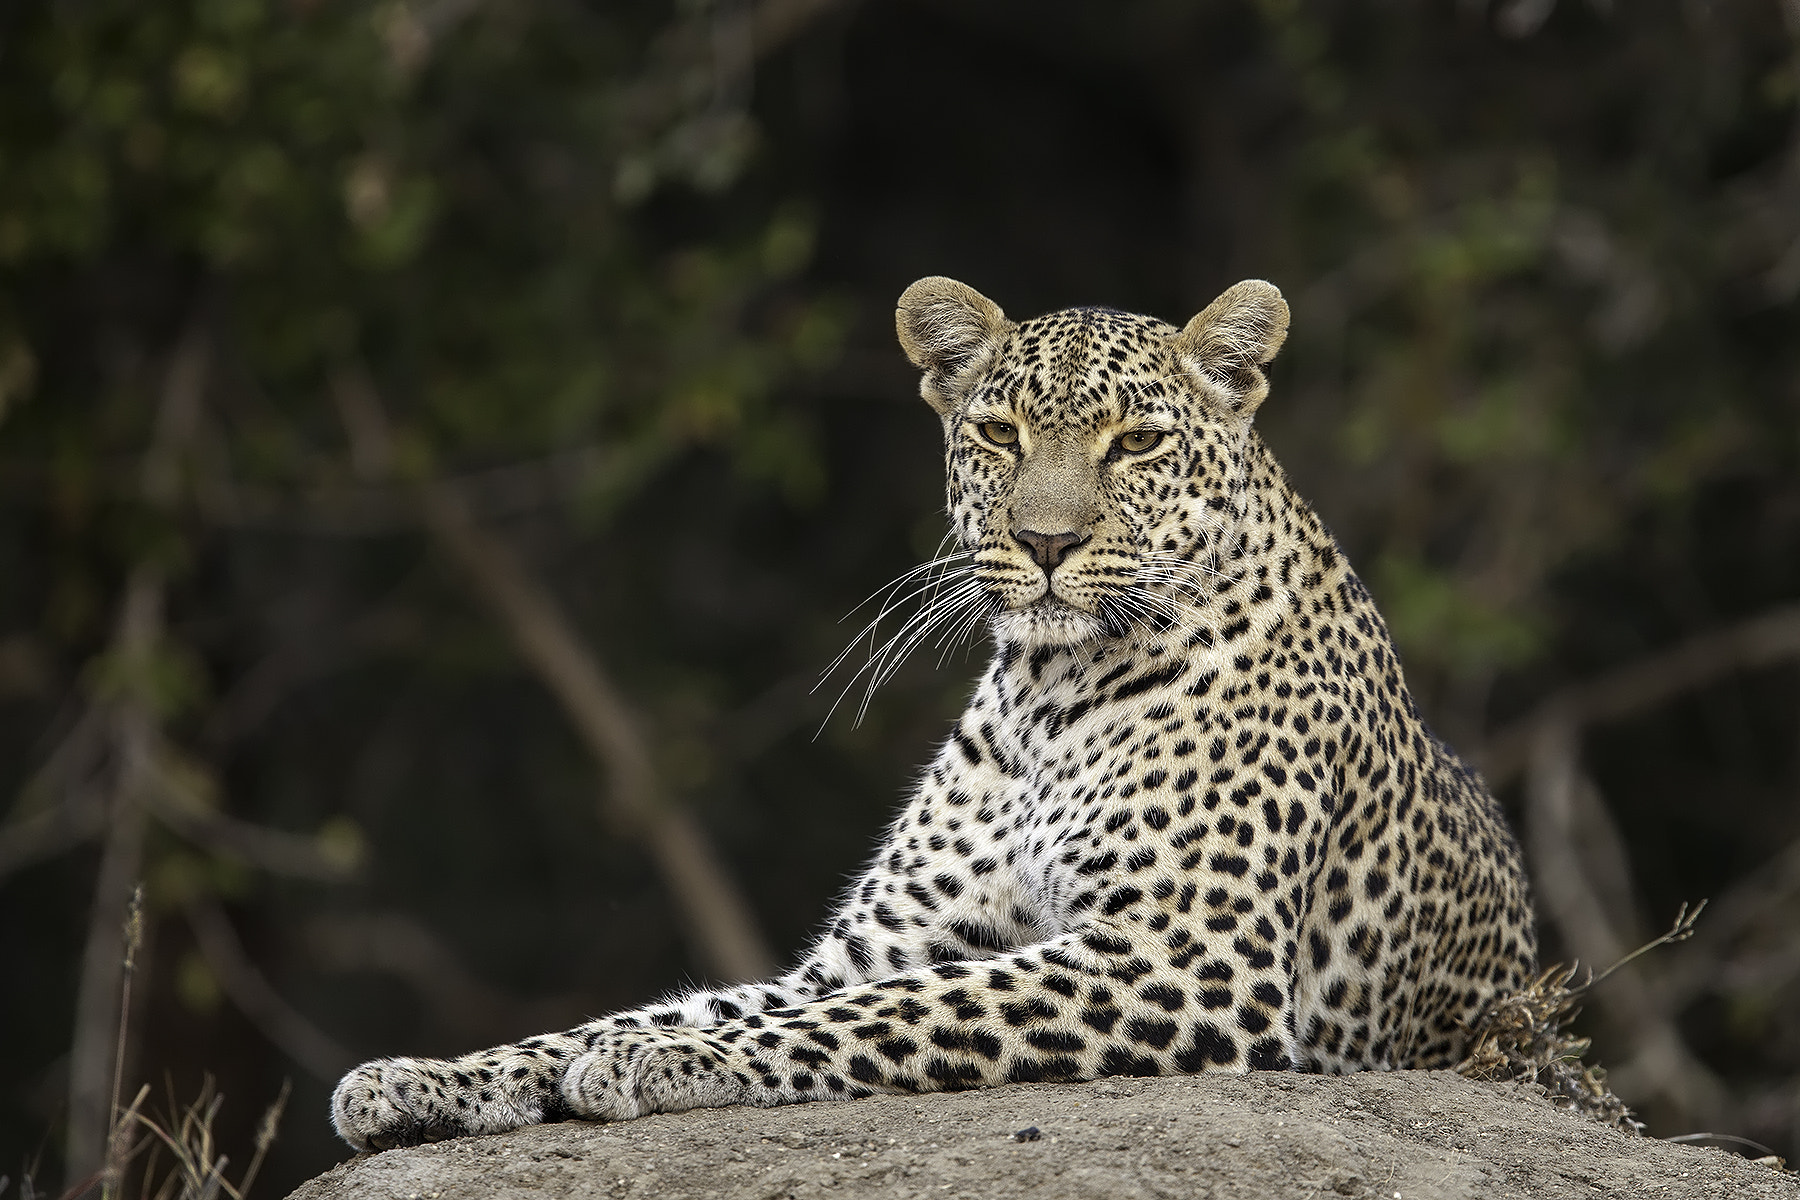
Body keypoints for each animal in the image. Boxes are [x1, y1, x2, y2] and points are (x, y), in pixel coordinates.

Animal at [330, 276, 1538, 1151]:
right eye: (998, 433)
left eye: (1138, 443)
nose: (1046, 541)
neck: (1055, 693)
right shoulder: (875, 945)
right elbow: (681, 1006)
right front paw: (420, 1078)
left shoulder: (1185, 956)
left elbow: (871, 1014)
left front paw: (647, 1068)